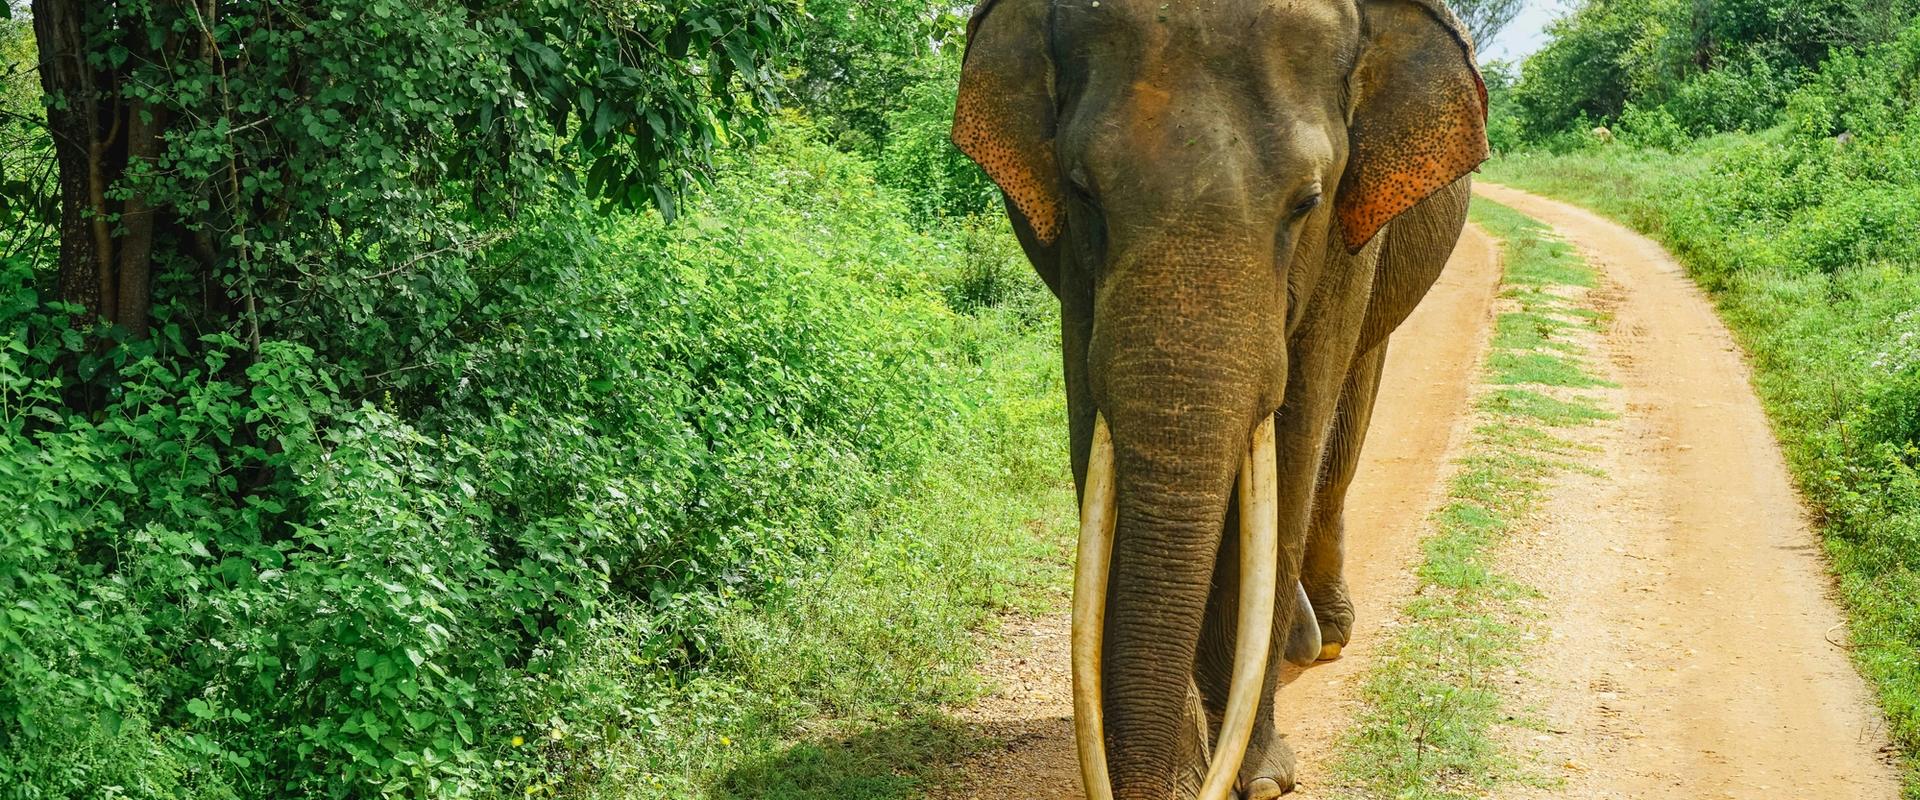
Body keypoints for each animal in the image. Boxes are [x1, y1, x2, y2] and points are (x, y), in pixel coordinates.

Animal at [949, 1, 1489, 798]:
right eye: (1082, 192)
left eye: (1307, 202)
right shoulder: (1071, 258)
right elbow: (1093, 433)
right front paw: (1178, 770)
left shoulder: (1348, 239)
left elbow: (1292, 447)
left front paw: (1261, 778)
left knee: (1343, 432)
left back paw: (1328, 637)